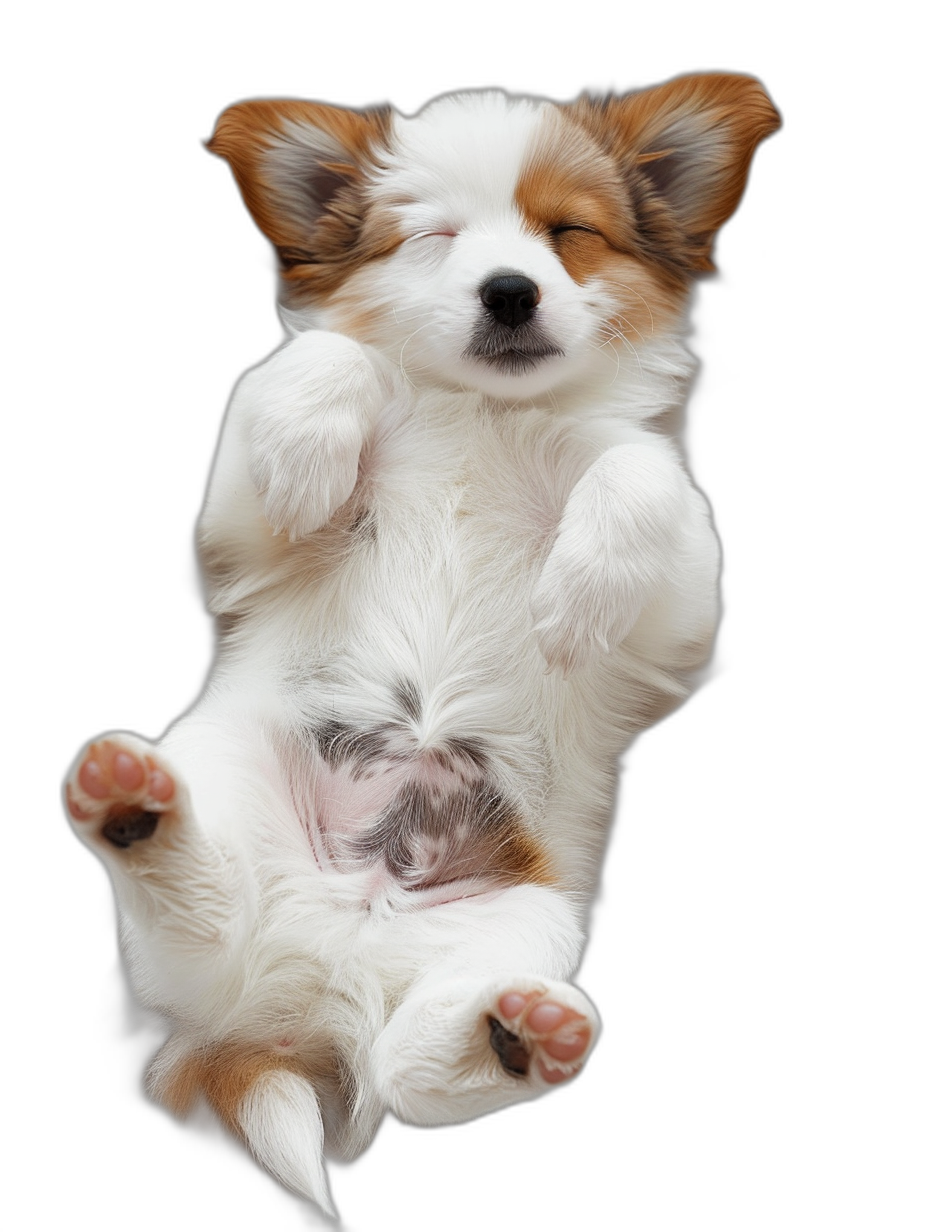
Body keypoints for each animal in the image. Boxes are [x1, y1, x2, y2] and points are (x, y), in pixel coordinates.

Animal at [61, 74, 778, 1222]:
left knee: (409, 1071)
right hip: (235, 797)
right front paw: (313, 445)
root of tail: (318, 978)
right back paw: (133, 805)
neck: (482, 412)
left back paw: (518, 1034)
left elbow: (641, 475)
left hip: (525, 918)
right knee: (202, 917)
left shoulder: (680, 612)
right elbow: (318, 358)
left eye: (567, 234)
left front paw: (573, 597)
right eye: (434, 240)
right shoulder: (244, 539)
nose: (508, 291)